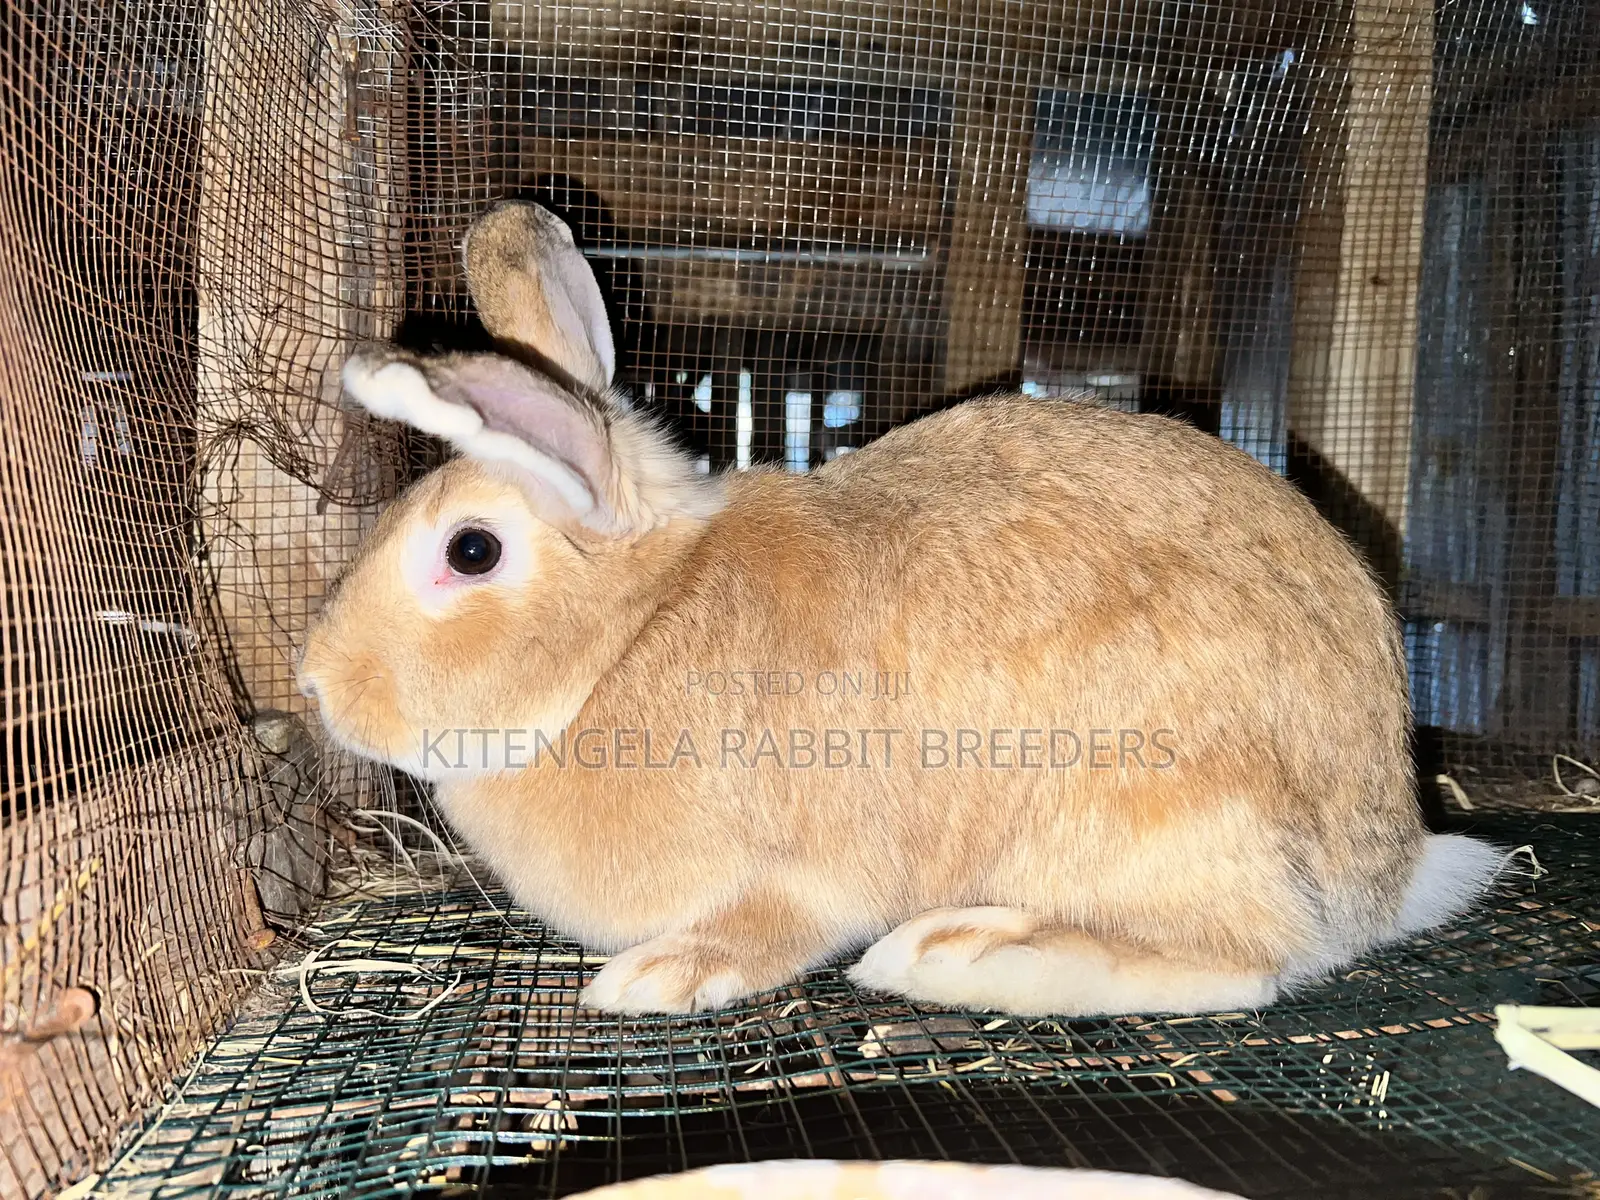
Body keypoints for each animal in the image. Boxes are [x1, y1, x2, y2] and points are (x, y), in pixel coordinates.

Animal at [296, 200, 1505, 1017]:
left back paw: (959, 956)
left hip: (1157, 812)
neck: (631, 637)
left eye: (470, 551)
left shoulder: (806, 871)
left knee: (1245, 965)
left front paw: (657, 977)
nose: (314, 687)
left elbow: (771, 927)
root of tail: (1382, 873)